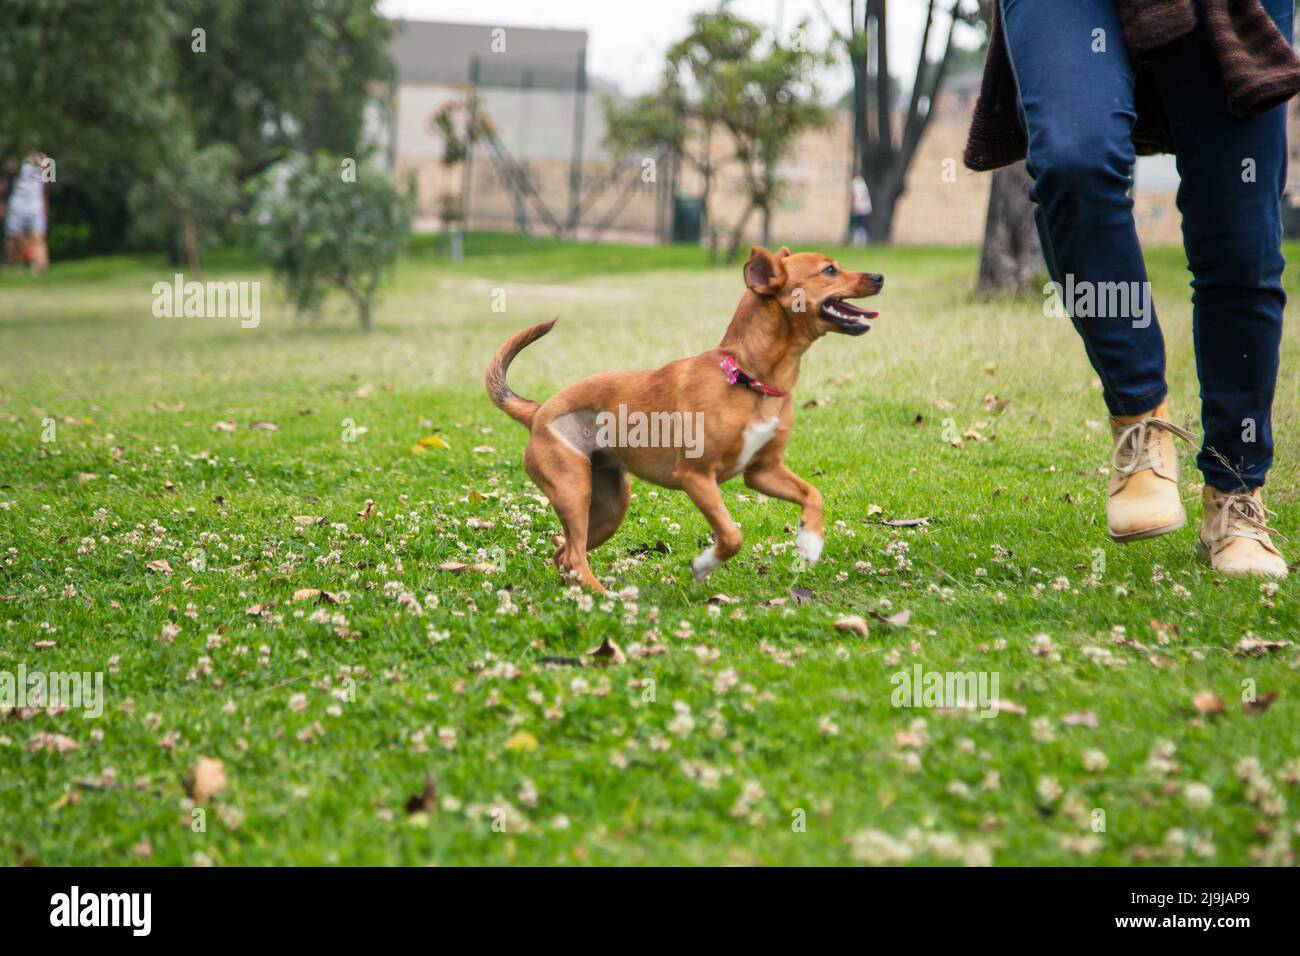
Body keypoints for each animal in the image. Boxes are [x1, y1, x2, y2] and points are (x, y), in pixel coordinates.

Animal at [488, 244, 883, 590]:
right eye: (829, 270)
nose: (880, 276)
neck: (747, 378)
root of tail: (539, 411)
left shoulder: (763, 472)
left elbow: (813, 494)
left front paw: (810, 542)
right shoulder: (697, 477)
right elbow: (732, 536)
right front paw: (704, 564)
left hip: (609, 508)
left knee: (564, 553)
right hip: (573, 489)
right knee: (572, 556)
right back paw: (603, 596)